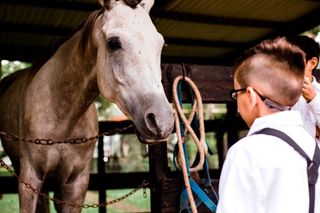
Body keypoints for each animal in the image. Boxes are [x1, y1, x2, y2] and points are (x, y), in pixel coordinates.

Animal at [0, 0, 174, 211]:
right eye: (113, 43)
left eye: (161, 44)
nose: (162, 121)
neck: (63, 116)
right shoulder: (29, 178)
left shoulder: (76, 184)